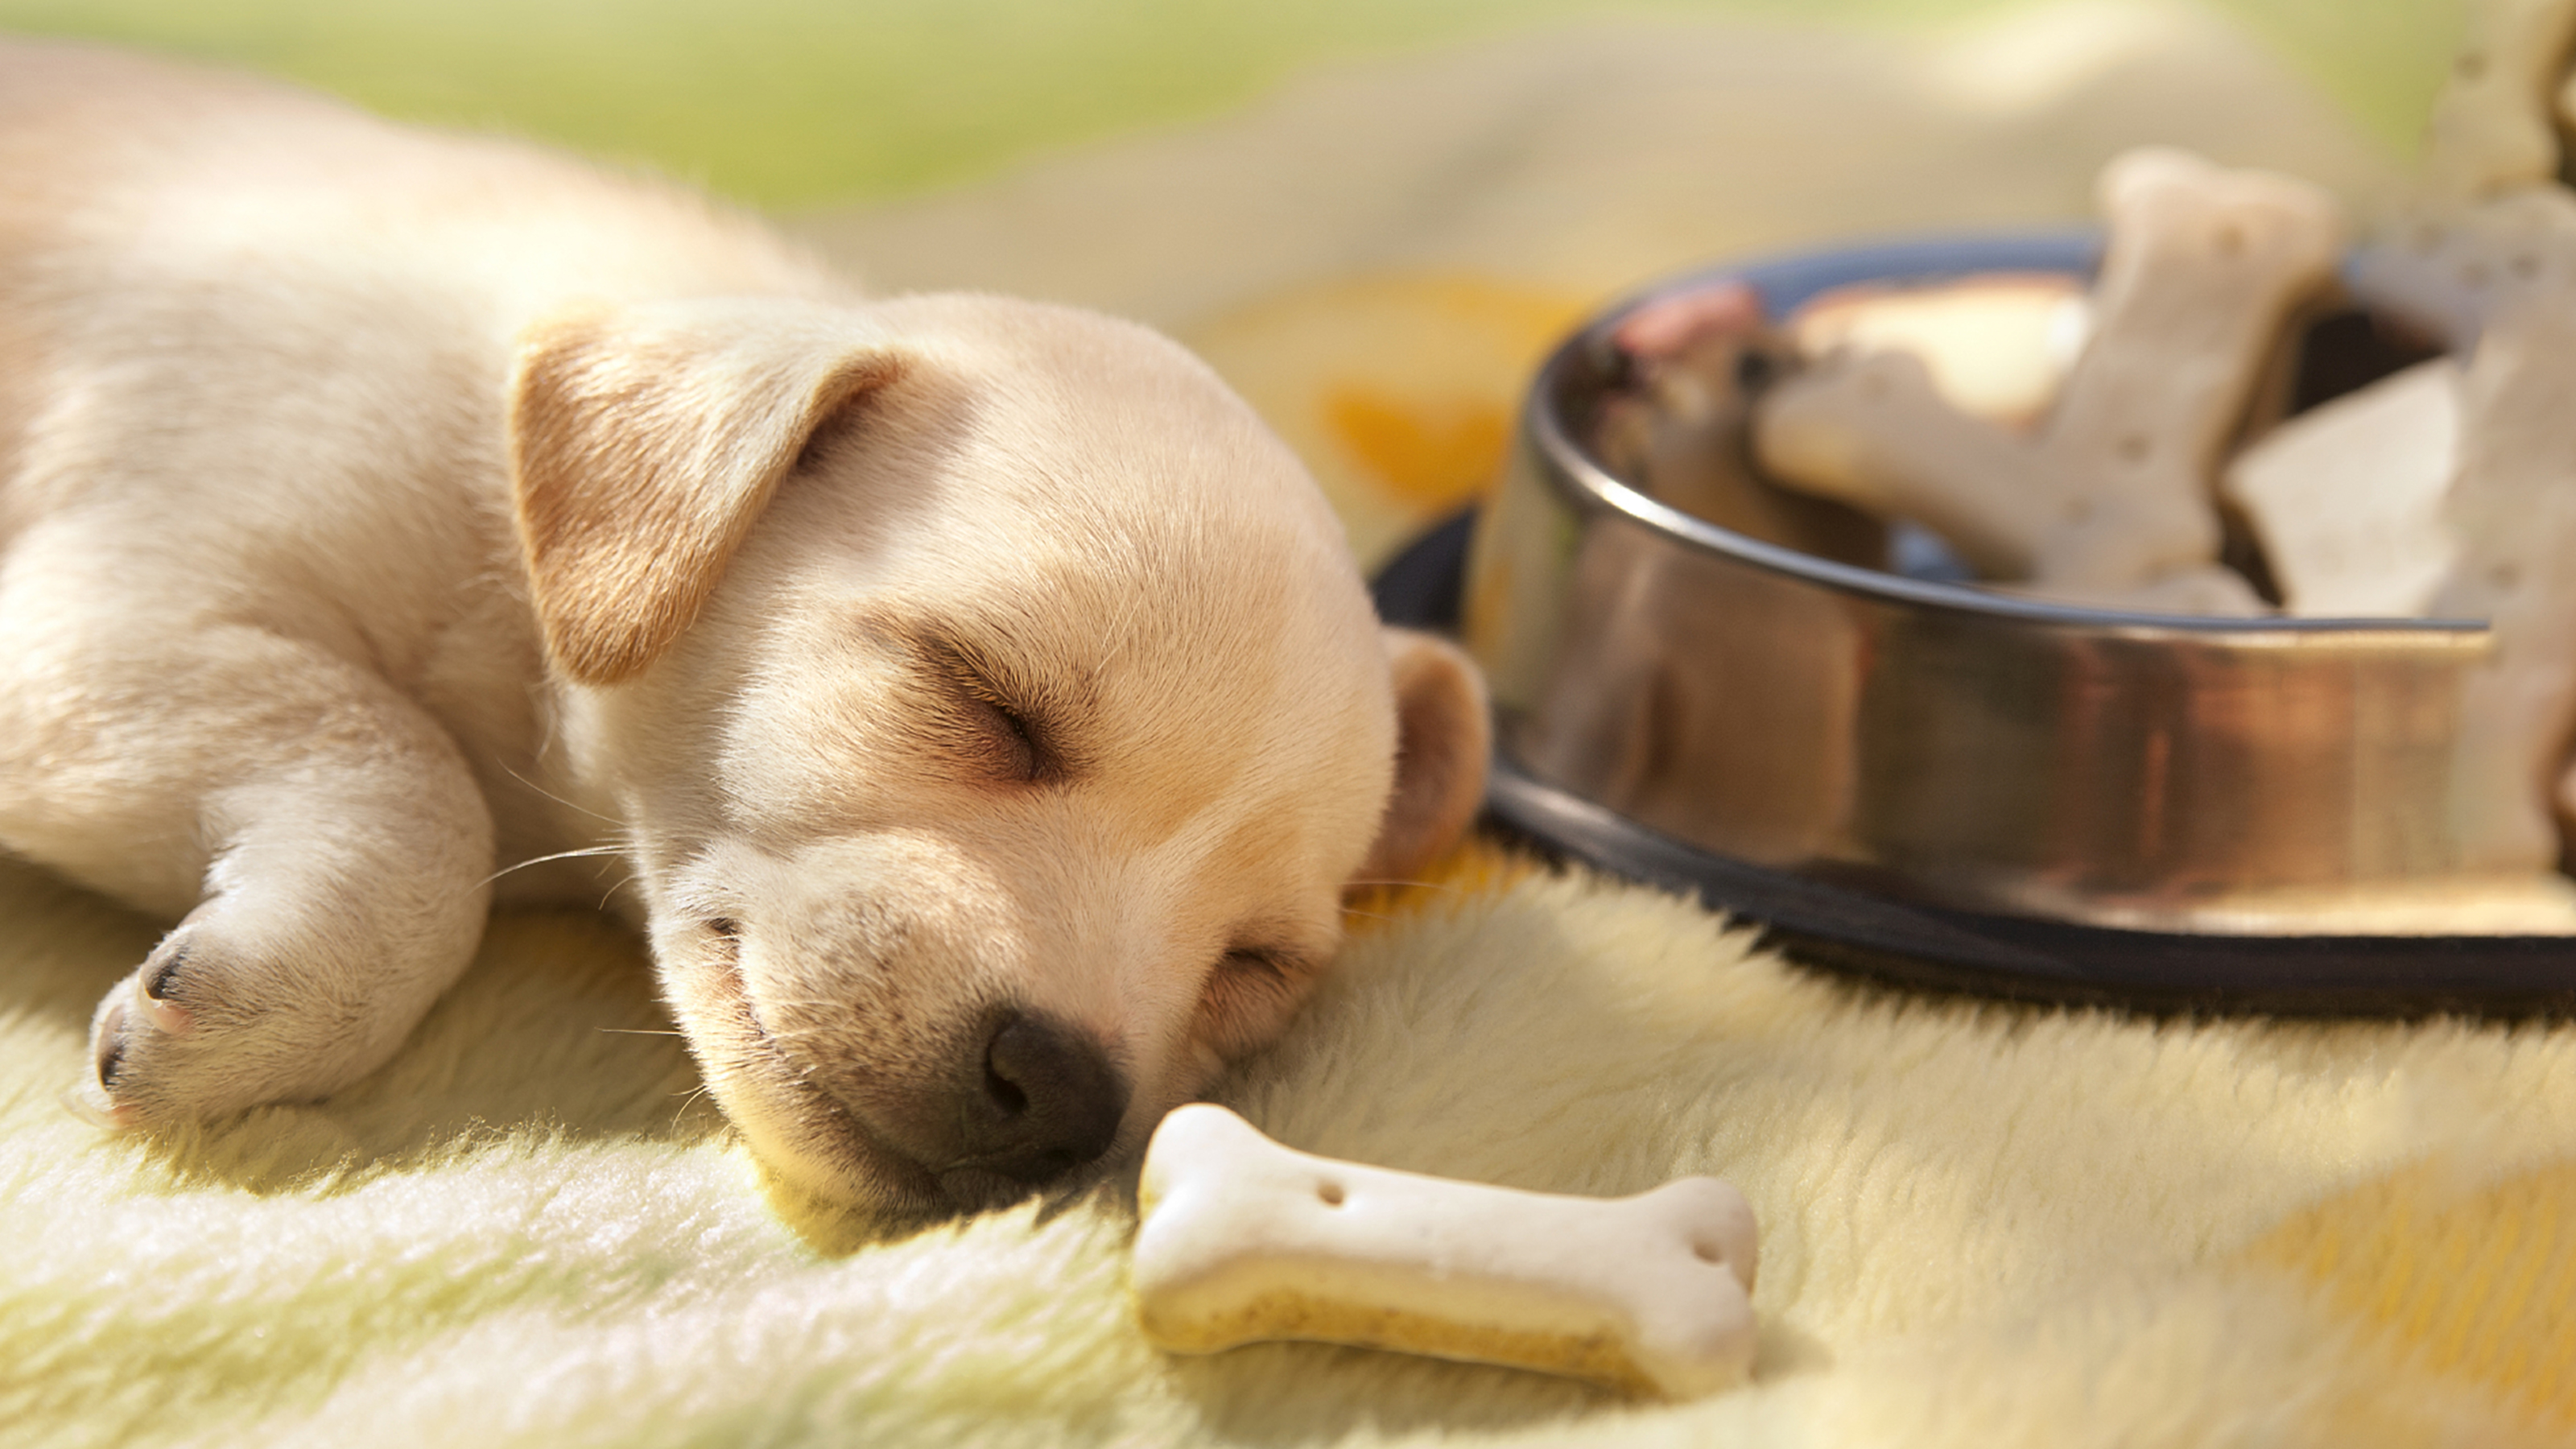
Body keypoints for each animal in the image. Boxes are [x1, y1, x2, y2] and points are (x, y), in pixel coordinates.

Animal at [0, 36, 1494, 1206]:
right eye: (978, 697)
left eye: (1258, 966)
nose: (1065, 1095)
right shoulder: (95, 619)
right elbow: (411, 785)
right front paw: (266, 1008)